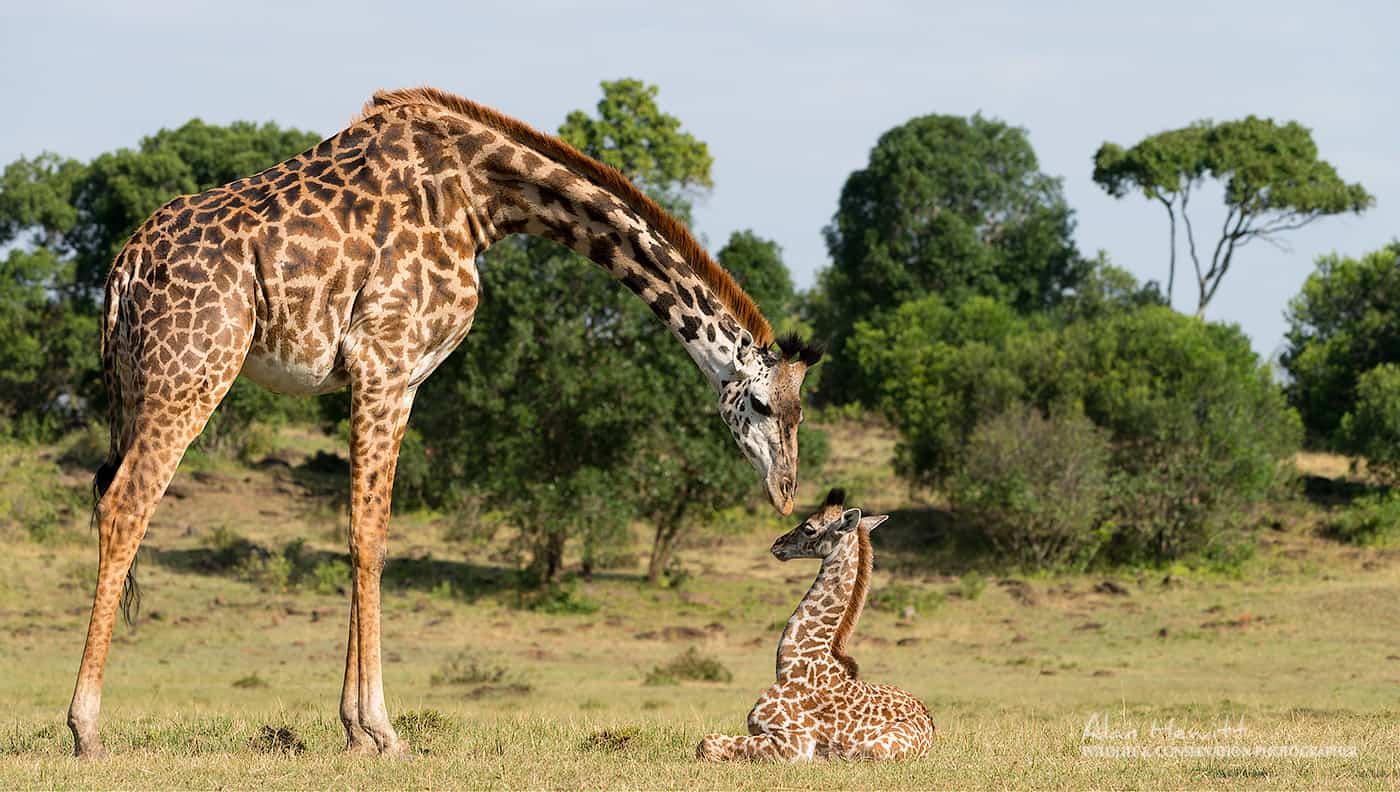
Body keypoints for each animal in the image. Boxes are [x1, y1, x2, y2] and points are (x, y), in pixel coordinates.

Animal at [71, 85, 817, 755]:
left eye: (800, 413)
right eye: (762, 405)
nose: (785, 492)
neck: (484, 198)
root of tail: (122, 271)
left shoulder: (401, 377)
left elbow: (365, 535)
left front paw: (355, 732)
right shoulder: (384, 358)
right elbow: (369, 537)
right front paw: (381, 730)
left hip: (137, 382)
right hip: (193, 371)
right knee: (127, 503)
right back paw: (87, 730)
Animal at [697, 489, 935, 761]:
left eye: (809, 528)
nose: (777, 544)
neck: (793, 665)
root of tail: (931, 730)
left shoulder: (793, 743)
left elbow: (707, 743)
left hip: (878, 748)